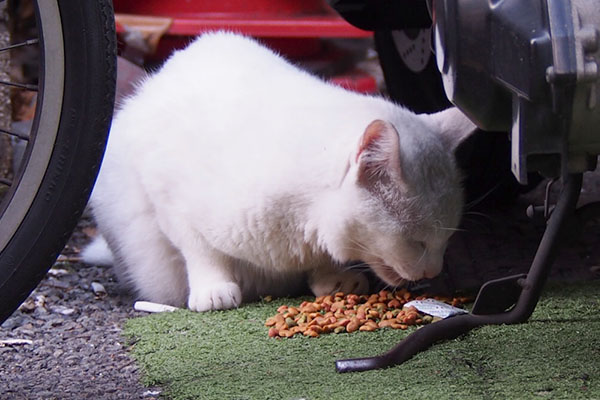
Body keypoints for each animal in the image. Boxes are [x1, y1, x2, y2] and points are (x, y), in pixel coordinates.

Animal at [84, 32, 476, 312]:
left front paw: (333, 278)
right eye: (416, 241)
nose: (433, 272)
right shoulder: (169, 196)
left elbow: (320, 257)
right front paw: (214, 288)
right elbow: (201, 250)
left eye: (447, 238)